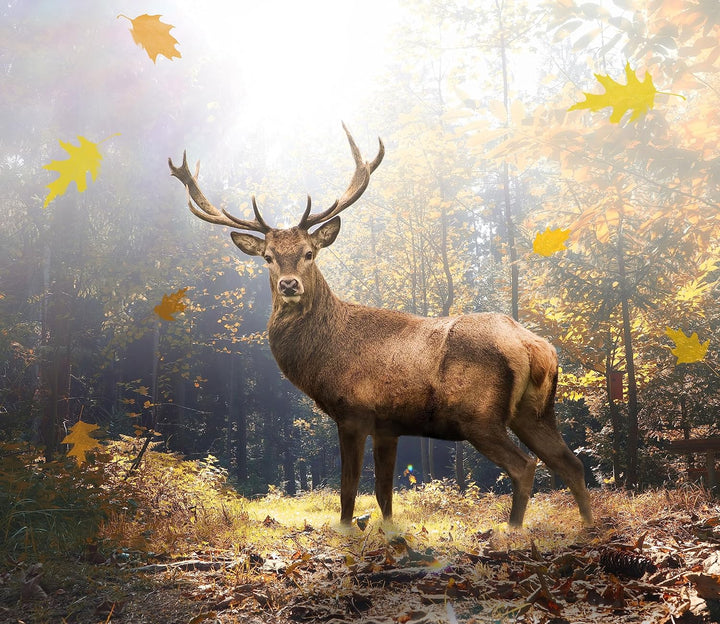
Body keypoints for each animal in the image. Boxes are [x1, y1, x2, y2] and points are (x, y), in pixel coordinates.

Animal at [168, 124, 593, 528]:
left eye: (309, 253)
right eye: (268, 257)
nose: (290, 285)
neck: (324, 356)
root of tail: (535, 347)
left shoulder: (353, 411)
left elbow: (348, 489)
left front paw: (346, 532)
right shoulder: (389, 424)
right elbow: (384, 493)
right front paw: (388, 533)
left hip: (480, 415)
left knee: (525, 466)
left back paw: (514, 530)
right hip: (535, 411)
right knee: (572, 463)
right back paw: (589, 526)